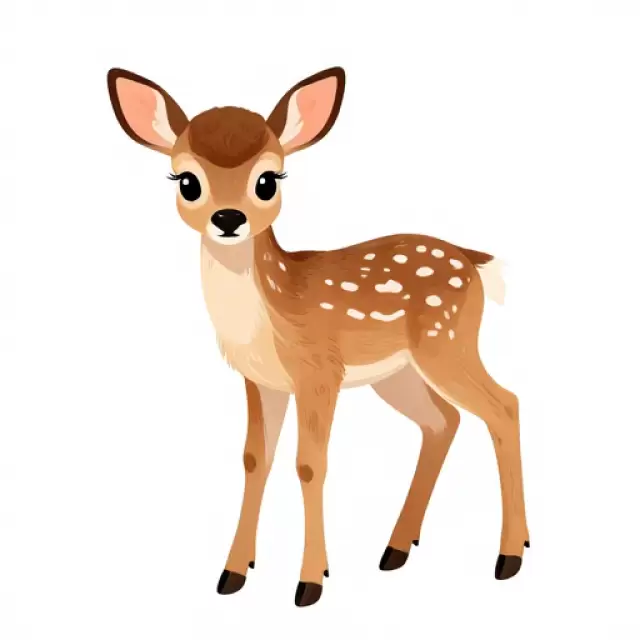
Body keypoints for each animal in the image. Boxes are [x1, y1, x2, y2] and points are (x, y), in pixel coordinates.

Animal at [106, 66, 530, 607]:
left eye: (267, 180)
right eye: (187, 180)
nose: (229, 218)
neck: (271, 312)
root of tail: (472, 261)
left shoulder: (319, 372)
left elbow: (309, 465)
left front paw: (310, 581)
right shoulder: (261, 382)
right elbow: (254, 459)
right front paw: (233, 573)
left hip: (447, 340)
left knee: (504, 406)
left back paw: (509, 556)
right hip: (398, 373)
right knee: (443, 422)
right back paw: (395, 548)